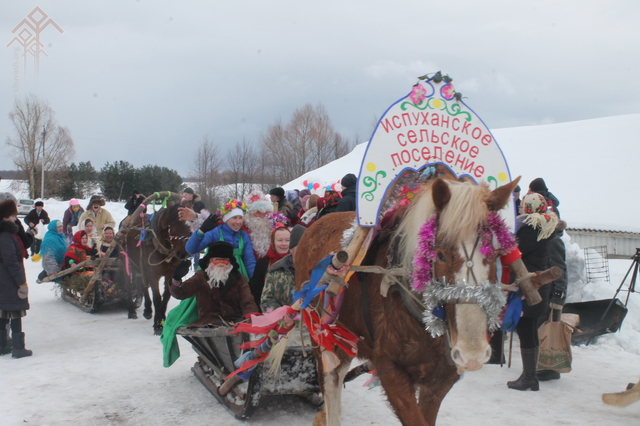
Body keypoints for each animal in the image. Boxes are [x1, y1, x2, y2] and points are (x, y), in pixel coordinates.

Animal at [119, 193, 190, 336]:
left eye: (189, 224)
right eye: (174, 225)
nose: (183, 254)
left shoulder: (169, 274)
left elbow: (166, 296)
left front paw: (162, 318)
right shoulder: (153, 274)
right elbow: (157, 297)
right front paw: (157, 325)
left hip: (139, 265)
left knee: (143, 285)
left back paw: (147, 310)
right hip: (127, 262)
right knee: (129, 285)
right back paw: (131, 311)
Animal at [296, 175, 528, 424]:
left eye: (495, 254)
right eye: (440, 254)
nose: (472, 352)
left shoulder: (441, 377)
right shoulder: (390, 368)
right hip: (321, 332)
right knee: (331, 383)